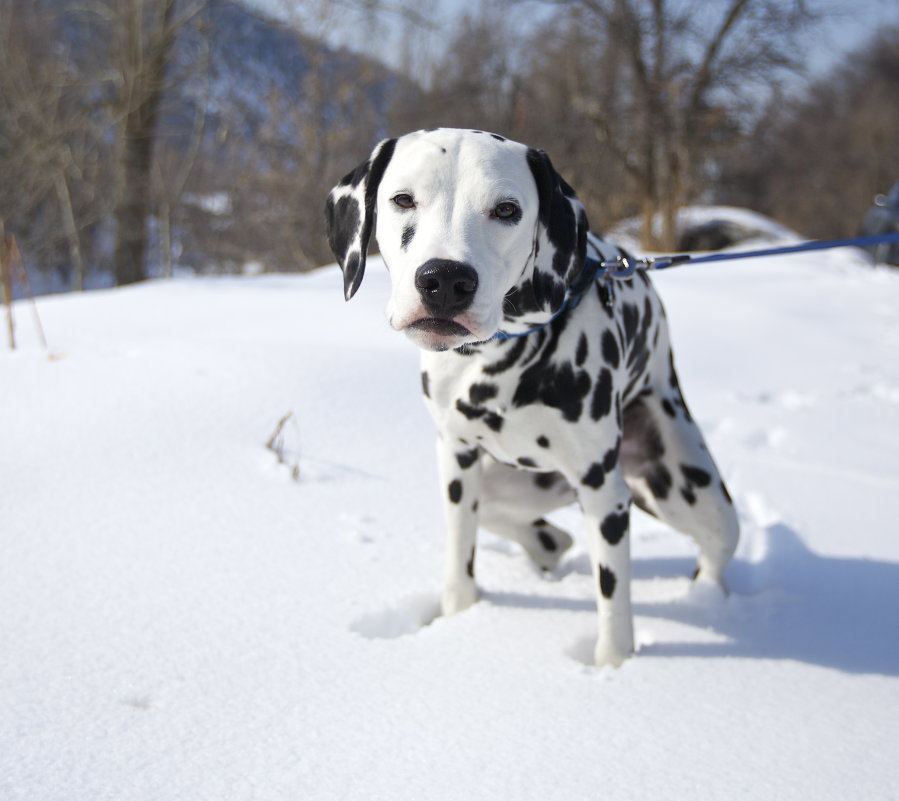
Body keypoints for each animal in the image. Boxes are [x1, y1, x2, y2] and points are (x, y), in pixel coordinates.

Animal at [324, 128, 740, 664]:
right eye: (402, 200)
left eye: (506, 209)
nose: (444, 281)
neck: (500, 360)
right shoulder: (456, 461)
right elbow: (459, 562)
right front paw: (458, 618)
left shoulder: (604, 494)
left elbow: (613, 602)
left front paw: (613, 668)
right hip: (496, 488)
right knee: (539, 531)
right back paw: (547, 546)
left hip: (699, 497)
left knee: (713, 553)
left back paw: (707, 603)